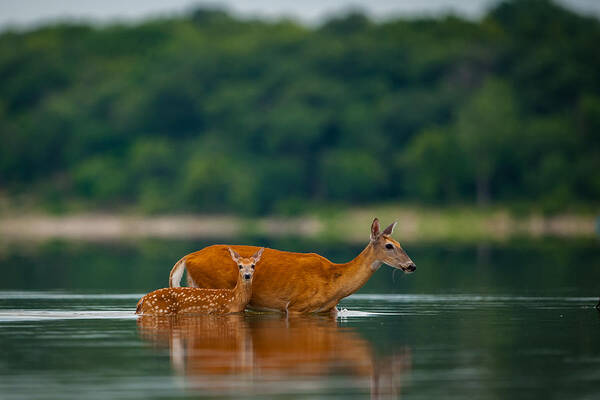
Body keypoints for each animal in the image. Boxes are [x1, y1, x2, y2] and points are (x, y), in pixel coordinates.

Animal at [168, 217, 412, 314]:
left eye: (401, 243)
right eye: (389, 246)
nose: (411, 266)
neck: (334, 280)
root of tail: (189, 256)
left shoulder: (328, 310)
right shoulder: (296, 306)